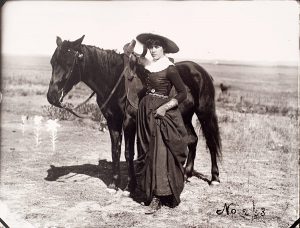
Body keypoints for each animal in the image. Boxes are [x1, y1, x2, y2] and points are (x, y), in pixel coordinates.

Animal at [46, 35, 220, 192]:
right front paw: (114, 183)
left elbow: (129, 153)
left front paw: (131, 185)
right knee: (193, 139)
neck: (115, 82)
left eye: (69, 63)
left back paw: (214, 178)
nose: (51, 96)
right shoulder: (112, 121)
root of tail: (200, 70)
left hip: (204, 113)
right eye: (52, 62)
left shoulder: (129, 121)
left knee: (211, 142)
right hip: (185, 116)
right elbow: (115, 150)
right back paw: (186, 174)